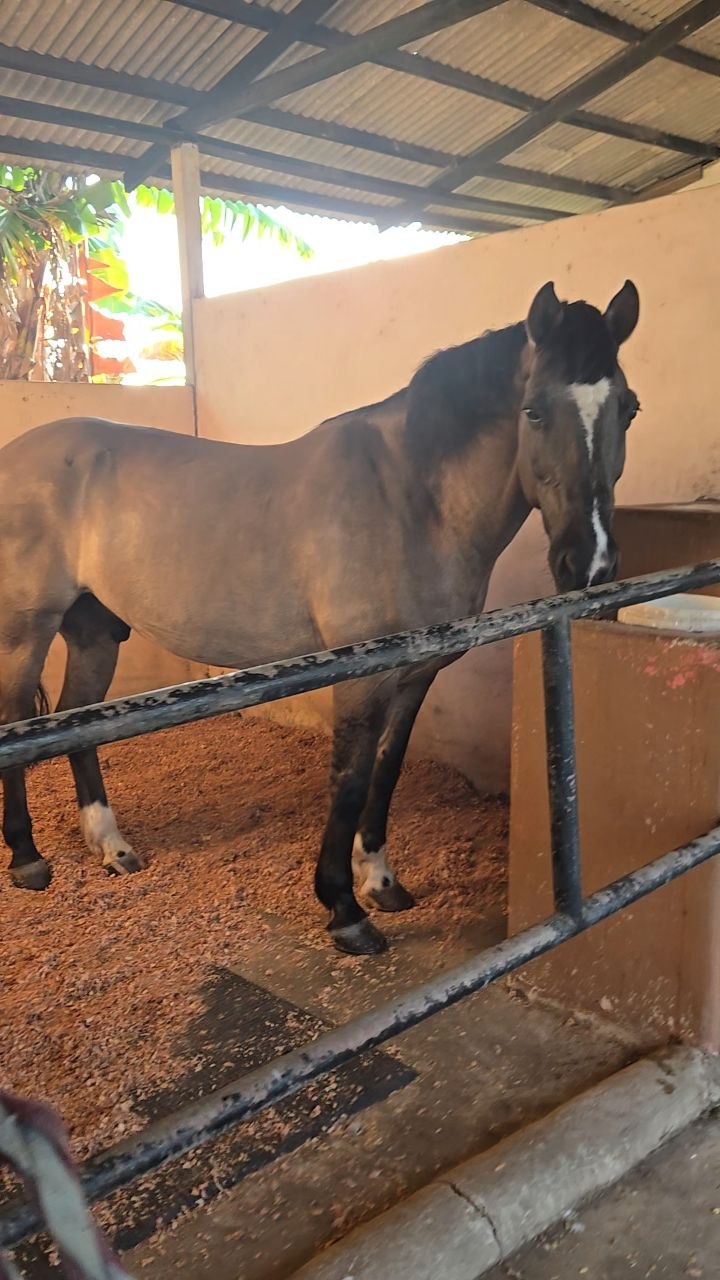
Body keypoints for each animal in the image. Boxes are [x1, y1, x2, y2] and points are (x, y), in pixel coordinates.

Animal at [0, 280, 640, 954]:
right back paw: (27, 859)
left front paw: (381, 882)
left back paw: (111, 846)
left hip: (95, 630)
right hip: (26, 631)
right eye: (534, 411)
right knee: (19, 722)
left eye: (628, 409)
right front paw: (344, 910)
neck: (411, 498)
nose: (590, 561)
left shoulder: (414, 676)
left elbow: (386, 772)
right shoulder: (359, 678)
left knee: (78, 720)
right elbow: (349, 781)